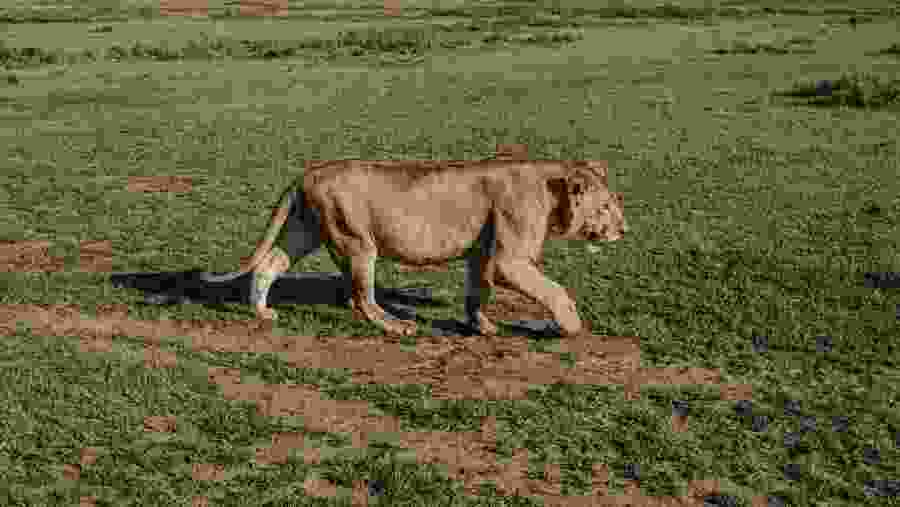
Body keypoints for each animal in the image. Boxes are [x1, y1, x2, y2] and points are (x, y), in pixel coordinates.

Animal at [201, 159, 626, 337]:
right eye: (605, 207)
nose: (624, 228)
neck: (552, 191)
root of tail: (307, 173)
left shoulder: (482, 252)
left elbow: (478, 290)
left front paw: (482, 326)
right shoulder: (510, 259)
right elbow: (554, 290)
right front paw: (571, 325)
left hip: (304, 230)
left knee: (269, 264)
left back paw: (262, 313)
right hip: (357, 242)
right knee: (362, 298)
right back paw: (397, 326)